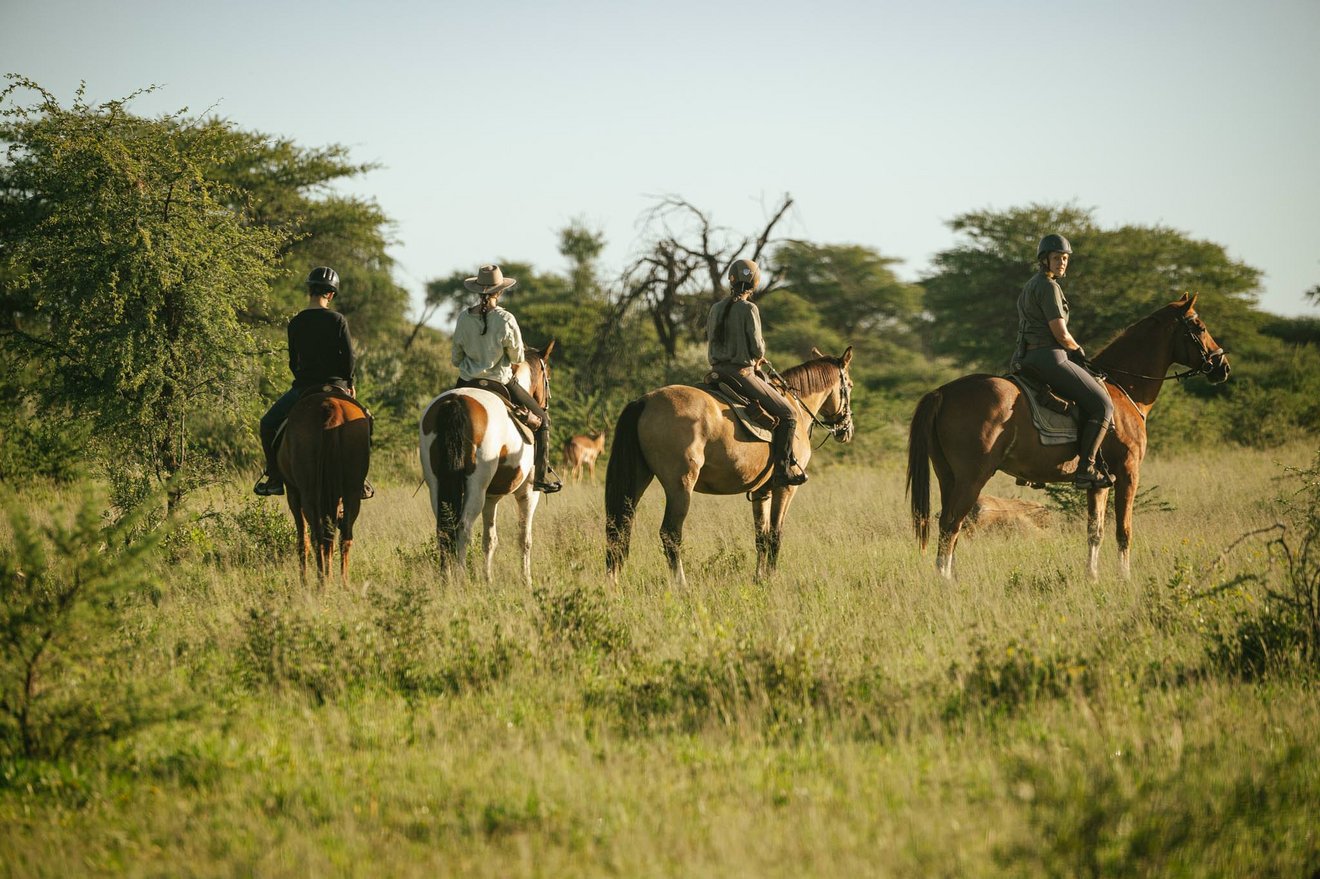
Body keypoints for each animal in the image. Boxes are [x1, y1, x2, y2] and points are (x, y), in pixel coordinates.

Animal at [277, 388, 372, 580]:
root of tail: (330, 408)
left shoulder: (293, 493)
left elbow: (303, 538)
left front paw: (304, 580)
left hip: (309, 494)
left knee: (318, 538)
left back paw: (322, 582)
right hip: (350, 492)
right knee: (343, 537)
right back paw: (342, 582)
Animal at [417, 343, 551, 580]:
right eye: (547, 377)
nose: (545, 407)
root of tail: (455, 402)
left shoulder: (491, 497)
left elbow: (490, 540)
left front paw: (488, 579)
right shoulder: (527, 493)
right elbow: (524, 540)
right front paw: (526, 580)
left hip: (436, 485)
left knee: (444, 529)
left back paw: (446, 579)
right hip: (475, 488)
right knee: (463, 529)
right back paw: (460, 579)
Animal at [607, 345, 855, 586]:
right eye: (850, 386)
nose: (847, 429)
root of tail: (645, 401)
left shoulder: (761, 491)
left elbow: (761, 537)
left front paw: (760, 578)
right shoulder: (785, 488)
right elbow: (775, 534)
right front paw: (772, 577)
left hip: (638, 480)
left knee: (619, 528)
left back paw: (614, 582)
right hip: (680, 486)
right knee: (670, 533)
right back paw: (681, 585)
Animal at [902, 294, 1230, 578]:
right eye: (1199, 327)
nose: (1222, 366)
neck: (1124, 388)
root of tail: (943, 391)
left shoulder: (1099, 483)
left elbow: (1095, 532)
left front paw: (1092, 577)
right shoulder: (1128, 473)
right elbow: (1123, 531)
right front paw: (1124, 578)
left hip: (948, 476)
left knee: (947, 526)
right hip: (972, 478)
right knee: (951, 525)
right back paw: (946, 581)